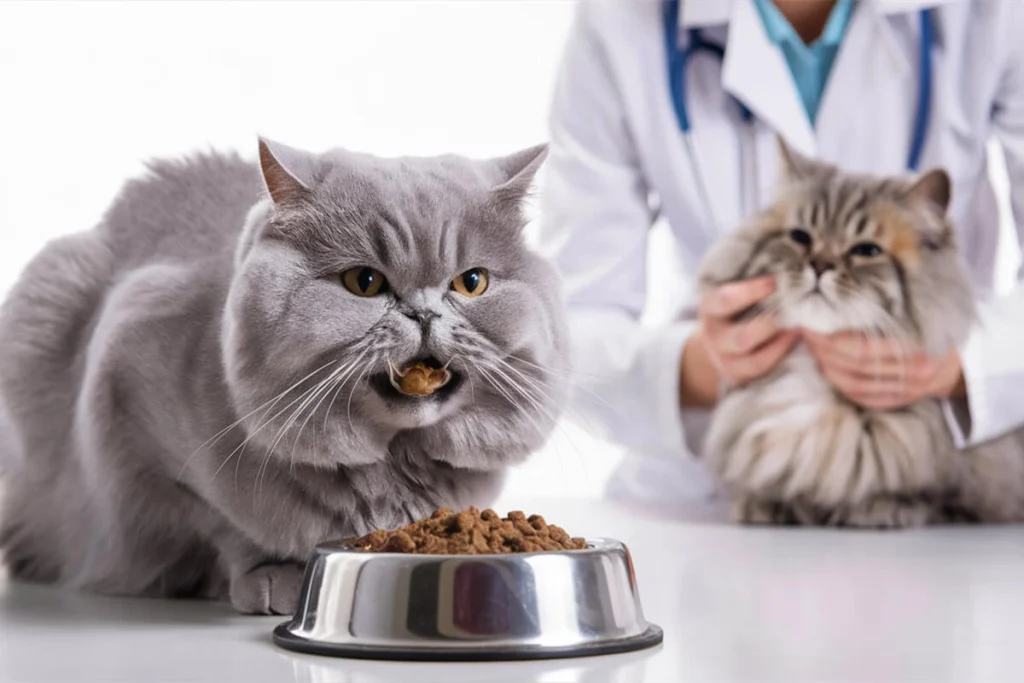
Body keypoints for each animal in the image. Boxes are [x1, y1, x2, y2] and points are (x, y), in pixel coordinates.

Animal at [0, 136, 569, 610]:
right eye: (364, 282)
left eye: (472, 282)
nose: (424, 314)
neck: (391, 461)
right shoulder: (127, 400)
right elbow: (221, 523)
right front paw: (271, 576)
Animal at [696, 143, 1024, 528]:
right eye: (801, 237)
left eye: (866, 251)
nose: (820, 265)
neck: (812, 379)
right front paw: (765, 505)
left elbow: (926, 496)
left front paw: (878, 509)